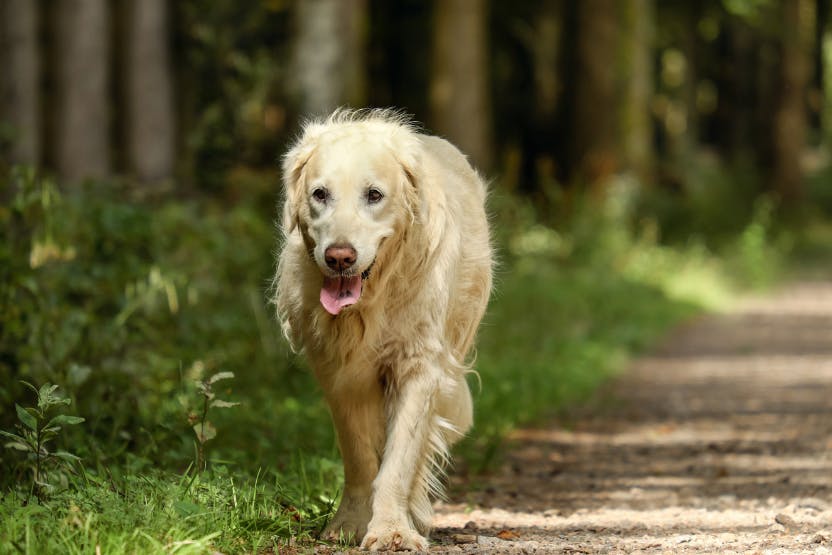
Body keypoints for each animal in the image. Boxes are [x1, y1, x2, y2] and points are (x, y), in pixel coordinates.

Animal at [276, 109, 490, 552]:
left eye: (374, 195)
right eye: (320, 194)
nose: (339, 257)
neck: (371, 302)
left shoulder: (420, 366)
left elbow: (400, 460)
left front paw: (392, 529)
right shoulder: (338, 374)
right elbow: (359, 456)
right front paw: (351, 523)